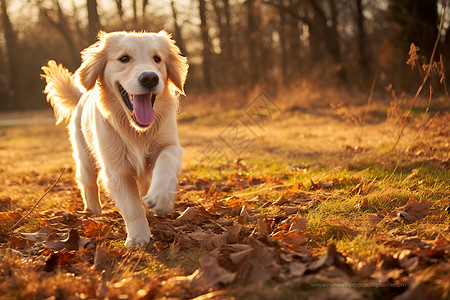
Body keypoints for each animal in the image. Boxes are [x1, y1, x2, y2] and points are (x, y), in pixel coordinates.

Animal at [41, 30, 188, 247]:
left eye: (157, 59)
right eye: (124, 58)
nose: (150, 78)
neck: (136, 131)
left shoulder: (170, 145)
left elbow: (165, 161)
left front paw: (160, 197)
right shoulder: (116, 170)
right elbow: (131, 206)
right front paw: (138, 237)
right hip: (85, 158)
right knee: (88, 184)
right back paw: (94, 212)